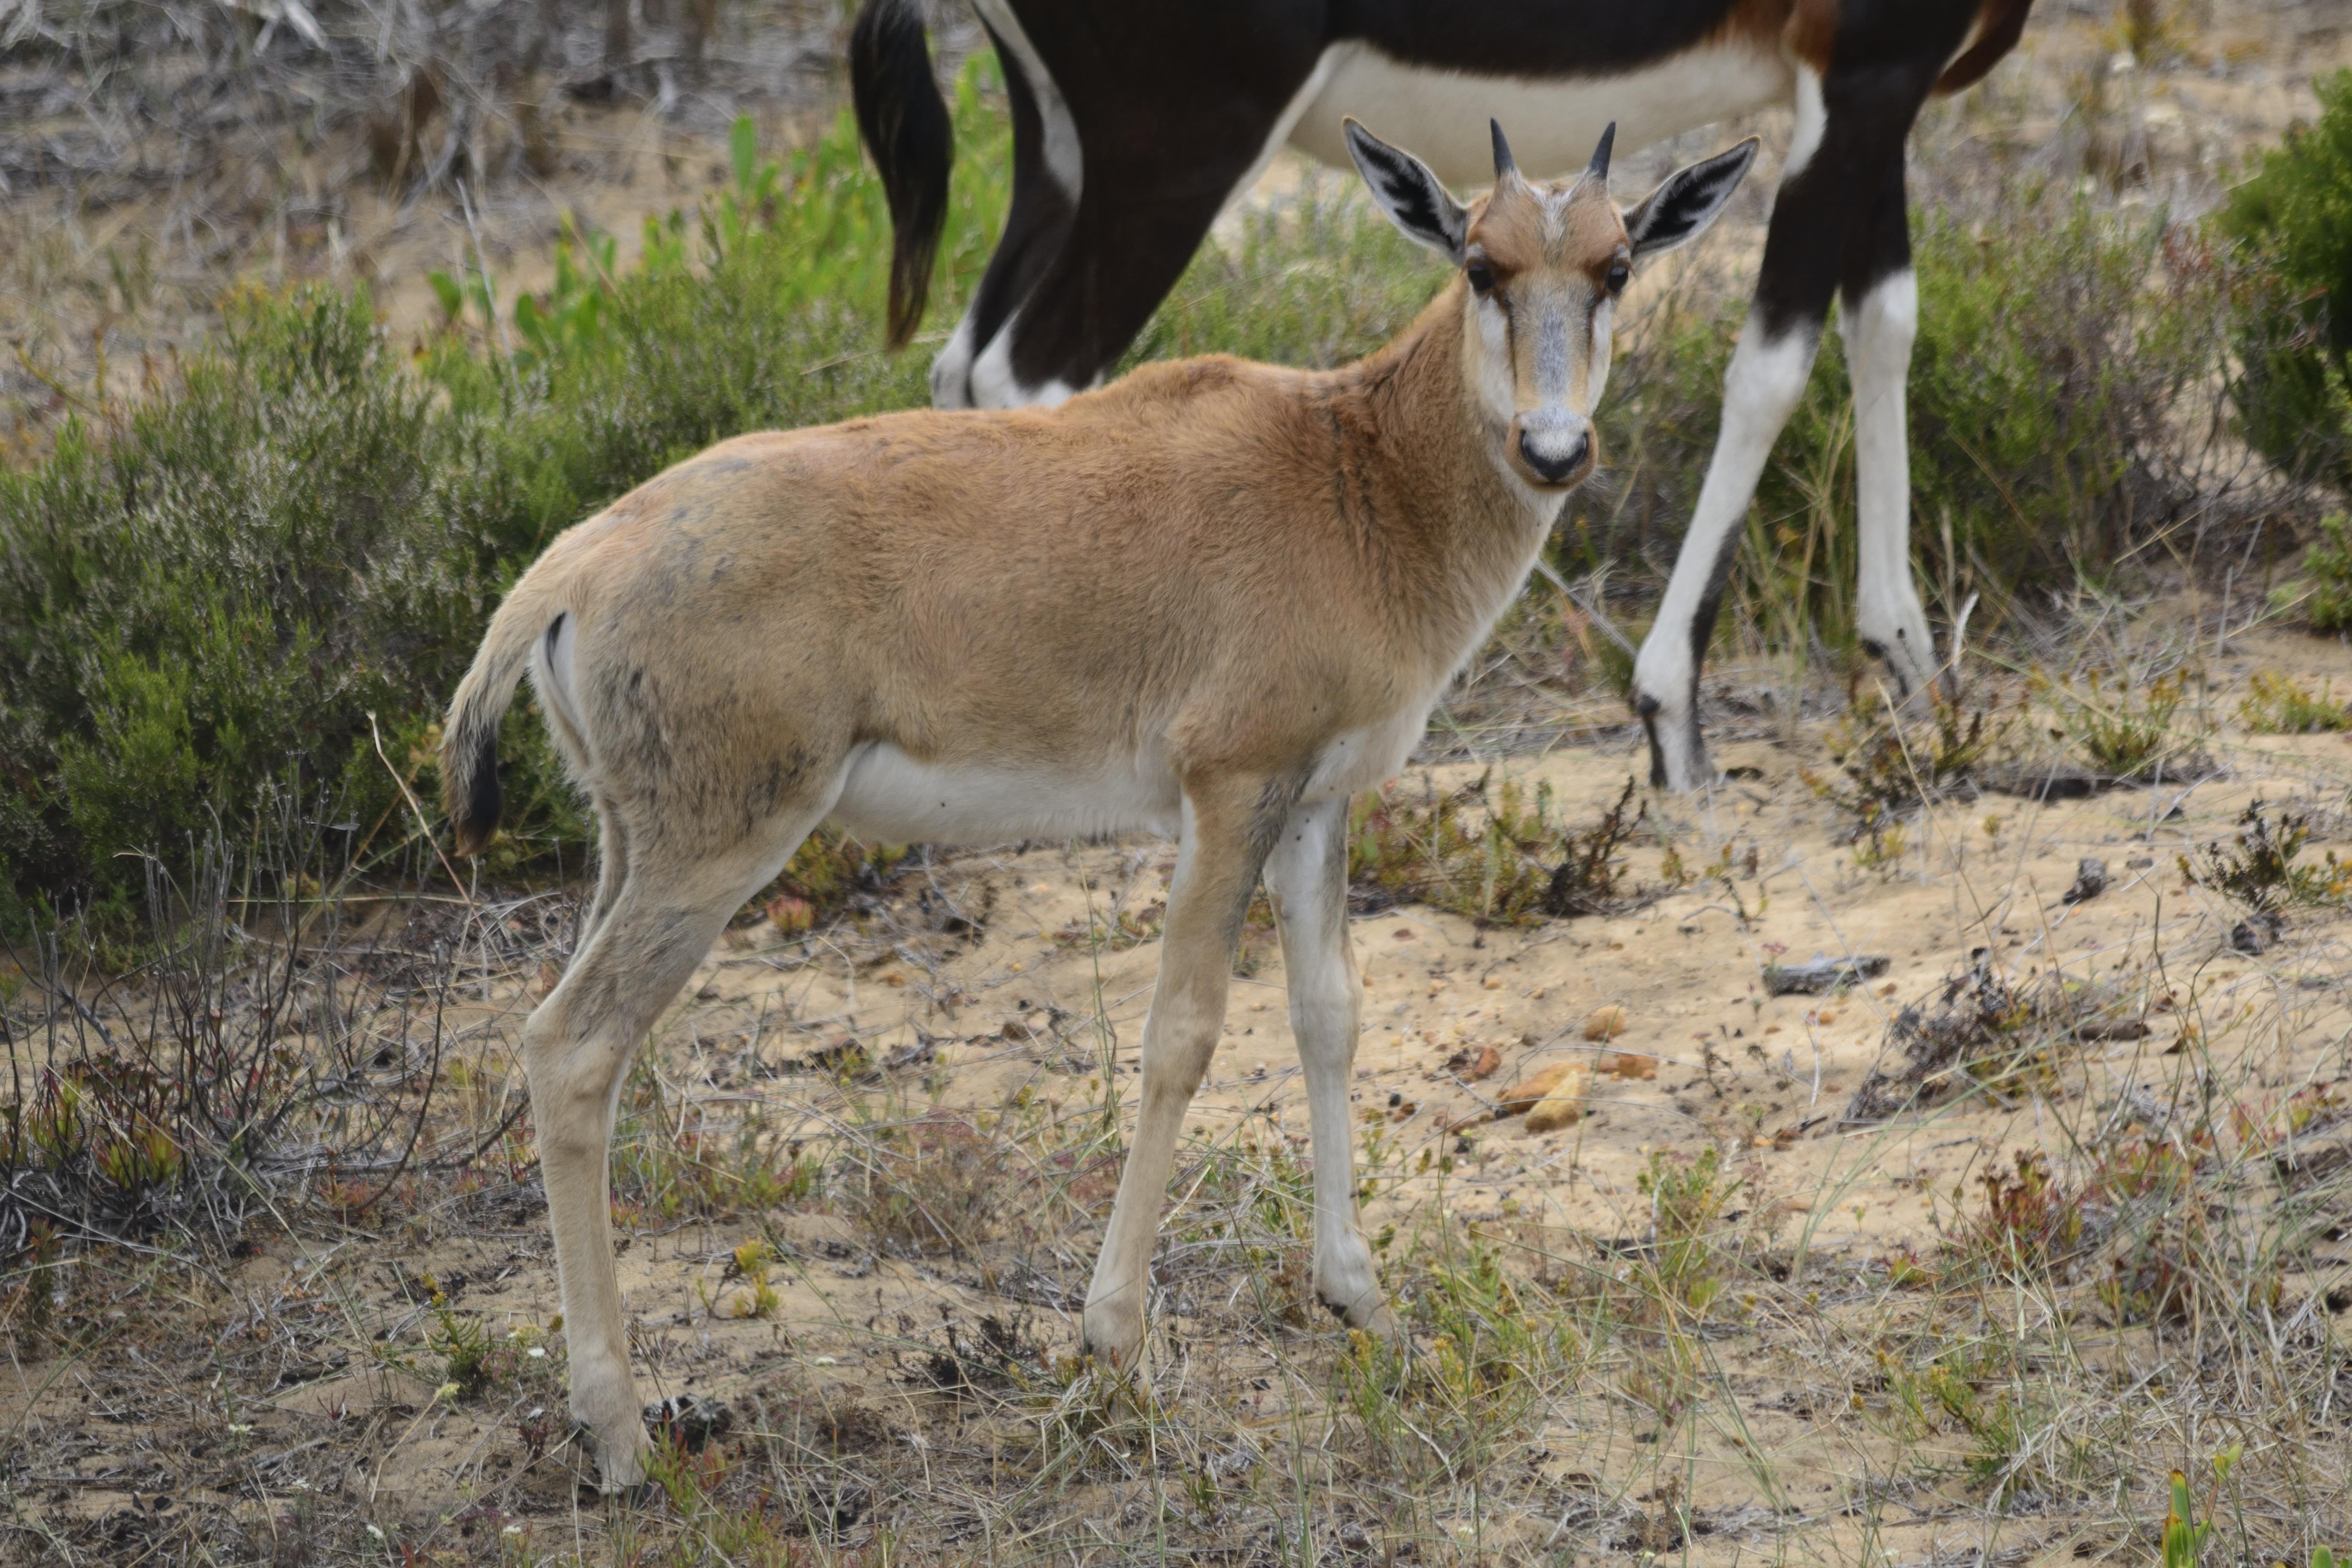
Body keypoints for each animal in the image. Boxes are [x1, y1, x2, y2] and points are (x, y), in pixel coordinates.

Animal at [444, 116, 1768, 1495]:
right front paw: (1114, 1338)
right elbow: (1182, 1031)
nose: (1553, 450)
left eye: (1614, 265)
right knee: (570, 1047)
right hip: (715, 851)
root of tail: (581, 560)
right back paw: (619, 1434)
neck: (1345, 465)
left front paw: (1359, 1296)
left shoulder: (1310, 806)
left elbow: (1329, 1017)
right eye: (1479, 262)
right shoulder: (1227, 791)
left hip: (630, 849)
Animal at [856, 0, 2032, 785]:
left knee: (961, 366)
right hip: (1173, 160)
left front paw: (1914, 671)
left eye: (1615, 271)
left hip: (1059, 155)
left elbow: (1882, 324)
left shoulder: (1870, 93)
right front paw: (1670, 722)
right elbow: (1774, 367)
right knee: (1025, 372)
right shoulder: (1862, 77)